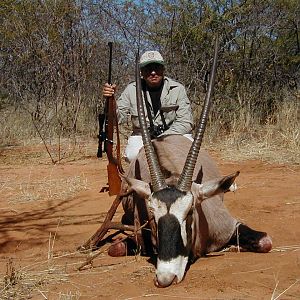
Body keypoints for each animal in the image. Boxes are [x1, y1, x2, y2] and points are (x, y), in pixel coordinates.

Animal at [110, 38, 272, 288]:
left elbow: (265, 241)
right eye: (153, 217)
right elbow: (115, 248)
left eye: (188, 214)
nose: (165, 278)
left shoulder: (230, 225)